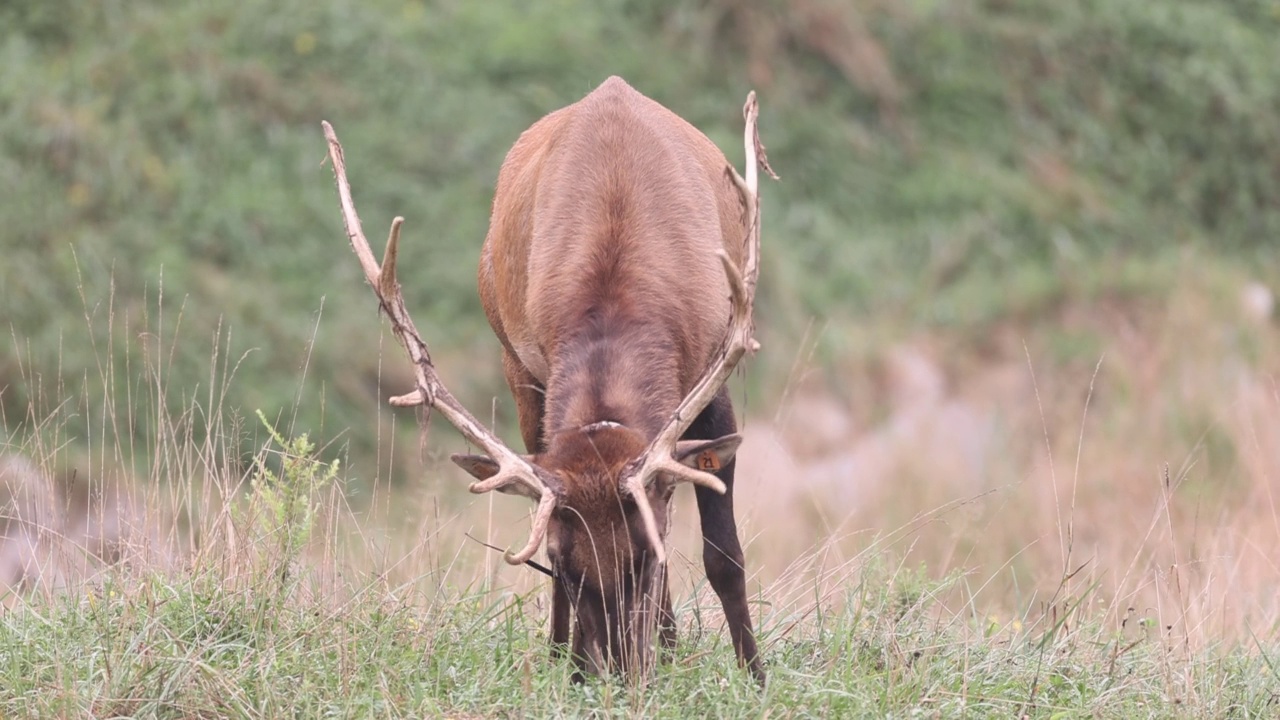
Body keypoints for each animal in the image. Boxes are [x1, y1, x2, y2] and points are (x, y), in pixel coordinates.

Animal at [325, 75, 773, 681]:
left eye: (645, 556)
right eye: (563, 562)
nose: (617, 673)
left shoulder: (714, 370)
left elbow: (723, 553)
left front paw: (755, 677)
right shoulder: (526, 370)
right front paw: (570, 662)